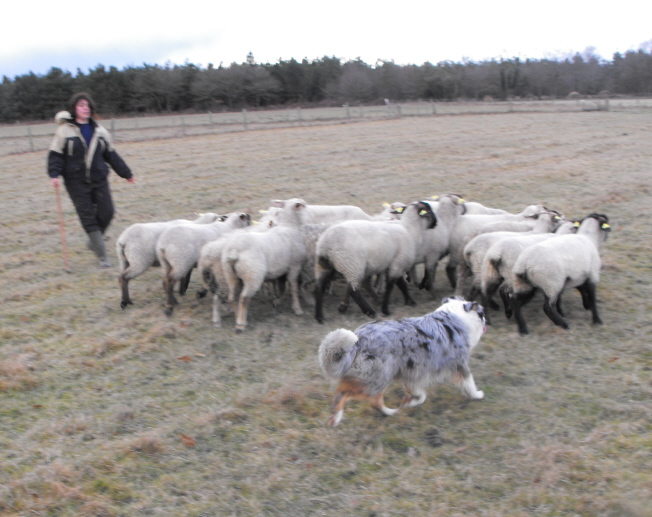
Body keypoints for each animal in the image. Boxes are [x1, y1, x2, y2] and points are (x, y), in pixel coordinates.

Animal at [222, 198, 308, 330]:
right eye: (302, 205)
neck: (291, 226)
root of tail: (235, 251)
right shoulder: (295, 265)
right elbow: (293, 286)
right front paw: (297, 308)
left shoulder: (281, 270)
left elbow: (282, 286)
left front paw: (277, 300)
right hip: (252, 274)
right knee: (244, 298)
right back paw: (241, 324)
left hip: (230, 274)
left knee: (232, 297)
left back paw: (238, 318)